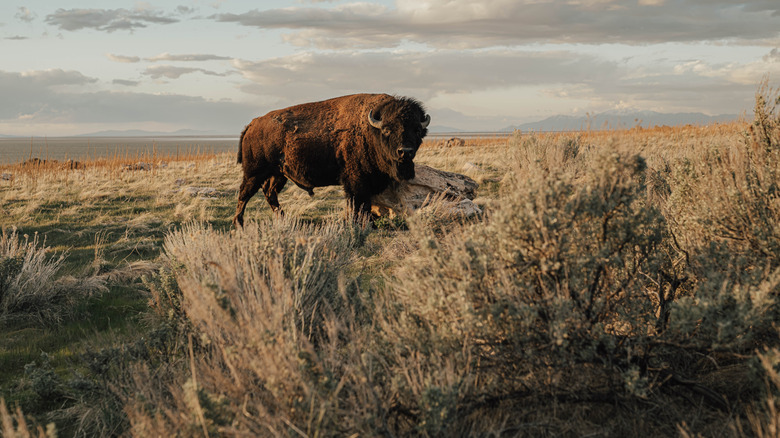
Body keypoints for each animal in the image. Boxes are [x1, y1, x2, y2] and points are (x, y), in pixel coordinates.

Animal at [233, 93, 430, 226]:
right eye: (388, 130)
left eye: (417, 130)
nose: (405, 152)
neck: (370, 130)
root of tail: (253, 123)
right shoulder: (357, 181)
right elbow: (360, 203)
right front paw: (363, 224)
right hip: (254, 173)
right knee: (244, 194)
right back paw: (238, 223)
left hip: (278, 174)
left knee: (270, 193)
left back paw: (283, 218)